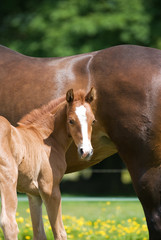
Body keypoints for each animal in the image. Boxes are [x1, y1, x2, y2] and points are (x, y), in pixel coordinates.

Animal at [0, 88, 96, 240]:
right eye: (71, 121)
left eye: (93, 121)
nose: (86, 152)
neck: (45, 137)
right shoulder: (50, 189)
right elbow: (60, 233)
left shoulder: (33, 194)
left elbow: (39, 233)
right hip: (8, 179)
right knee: (9, 223)